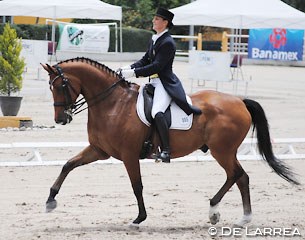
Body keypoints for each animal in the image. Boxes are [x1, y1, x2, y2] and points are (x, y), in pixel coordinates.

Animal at [41, 57, 298, 228]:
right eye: (50, 87)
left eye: (61, 85)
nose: (61, 119)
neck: (113, 103)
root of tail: (240, 101)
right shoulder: (99, 150)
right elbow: (68, 165)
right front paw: (50, 200)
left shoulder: (129, 155)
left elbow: (137, 186)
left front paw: (139, 218)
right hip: (225, 151)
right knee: (241, 177)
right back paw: (241, 218)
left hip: (222, 150)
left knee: (236, 175)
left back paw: (216, 210)